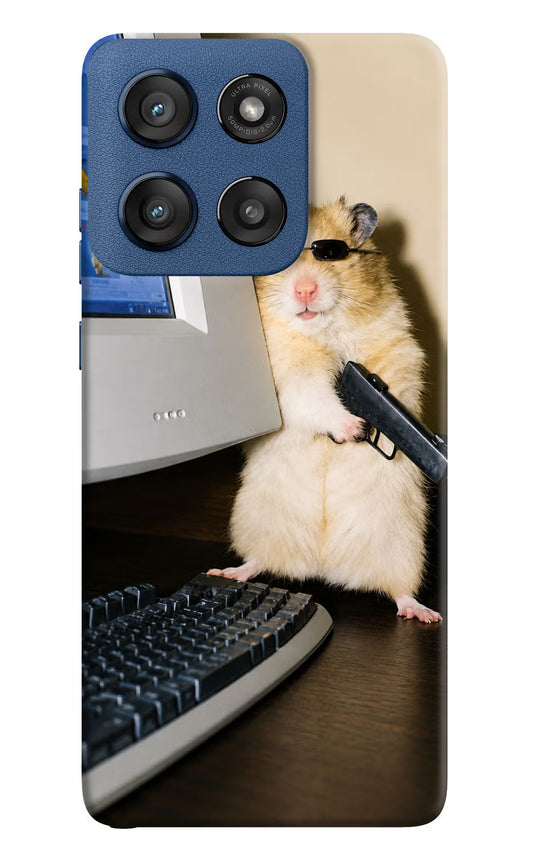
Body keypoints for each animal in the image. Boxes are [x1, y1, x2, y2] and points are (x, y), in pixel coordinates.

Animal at [208, 198, 441, 623]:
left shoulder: (398, 351)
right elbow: (314, 398)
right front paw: (353, 428)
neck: (323, 331)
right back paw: (228, 572)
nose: (304, 290)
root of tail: (325, 567)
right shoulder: (288, 378)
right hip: (257, 522)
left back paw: (423, 613)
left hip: (403, 546)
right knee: (258, 561)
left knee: (399, 590)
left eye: (331, 254)